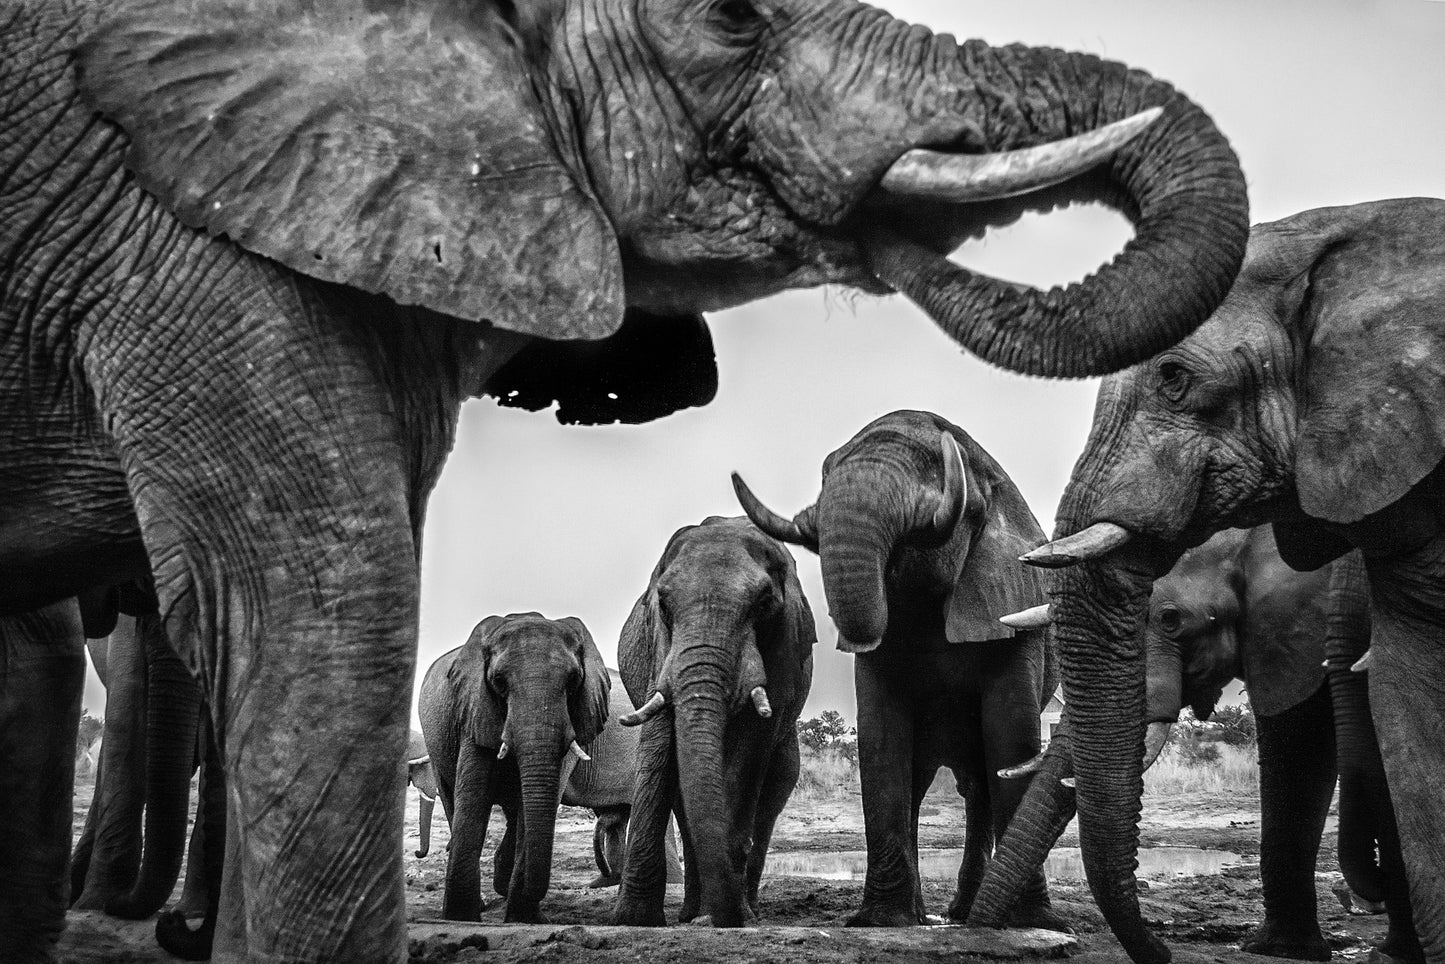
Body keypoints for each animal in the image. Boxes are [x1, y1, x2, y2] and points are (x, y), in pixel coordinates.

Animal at [418, 613, 611, 922]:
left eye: (573, 681)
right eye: (499, 681)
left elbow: (528, 809)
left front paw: (524, 918)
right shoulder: (476, 710)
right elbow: (473, 801)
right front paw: (462, 917)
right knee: (451, 802)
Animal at [612, 515, 815, 927]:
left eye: (764, 604)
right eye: (663, 604)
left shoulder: (782, 651)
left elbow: (750, 750)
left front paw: (729, 916)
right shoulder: (660, 649)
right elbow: (659, 742)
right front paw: (632, 919)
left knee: (769, 799)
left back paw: (743, 911)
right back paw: (694, 913)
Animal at [733, 409, 1060, 929]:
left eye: (939, 465)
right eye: (826, 471)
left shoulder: (1012, 600)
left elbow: (1011, 732)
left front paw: (1032, 922)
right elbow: (883, 738)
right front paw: (882, 921)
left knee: (980, 782)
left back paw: (963, 912)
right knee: (923, 783)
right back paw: (930, 914)